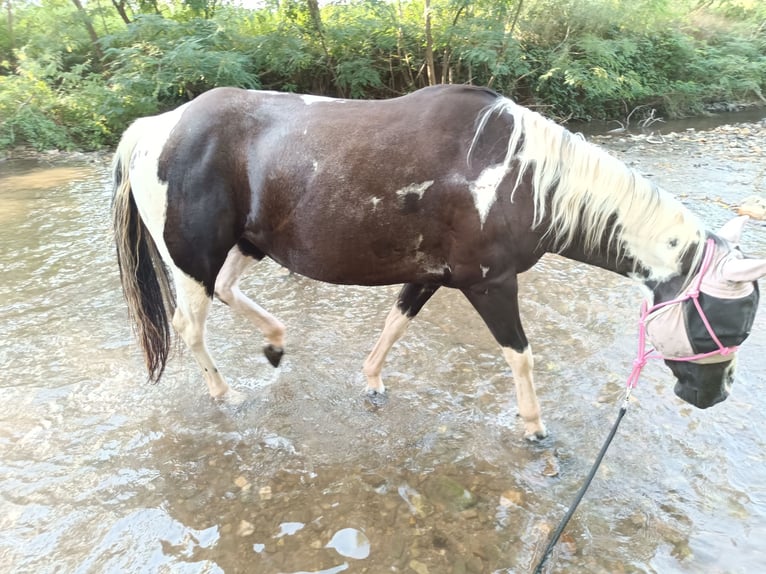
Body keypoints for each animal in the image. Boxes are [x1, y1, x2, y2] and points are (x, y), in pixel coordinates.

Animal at [112, 84, 765, 440]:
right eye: (726, 324)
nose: (716, 396)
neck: (521, 179)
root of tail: (155, 127)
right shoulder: (491, 285)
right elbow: (520, 354)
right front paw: (534, 427)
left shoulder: (431, 277)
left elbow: (395, 324)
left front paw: (372, 382)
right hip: (193, 259)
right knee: (191, 326)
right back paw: (225, 394)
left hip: (244, 246)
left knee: (225, 293)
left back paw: (275, 343)